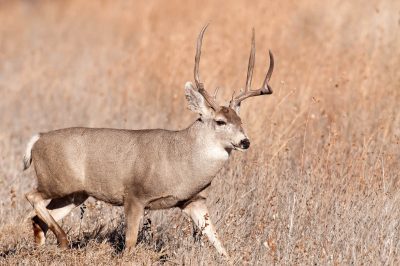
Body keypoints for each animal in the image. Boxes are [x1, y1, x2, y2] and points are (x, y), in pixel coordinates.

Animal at [21, 25, 274, 258]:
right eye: (220, 121)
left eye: (241, 121)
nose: (245, 141)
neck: (182, 158)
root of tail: (38, 139)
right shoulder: (134, 195)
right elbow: (130, 244)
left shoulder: (193, 200)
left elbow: (219, 243)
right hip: (56, 181)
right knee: (32, 197)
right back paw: (63, 240)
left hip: (75, 193)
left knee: (37, 218)